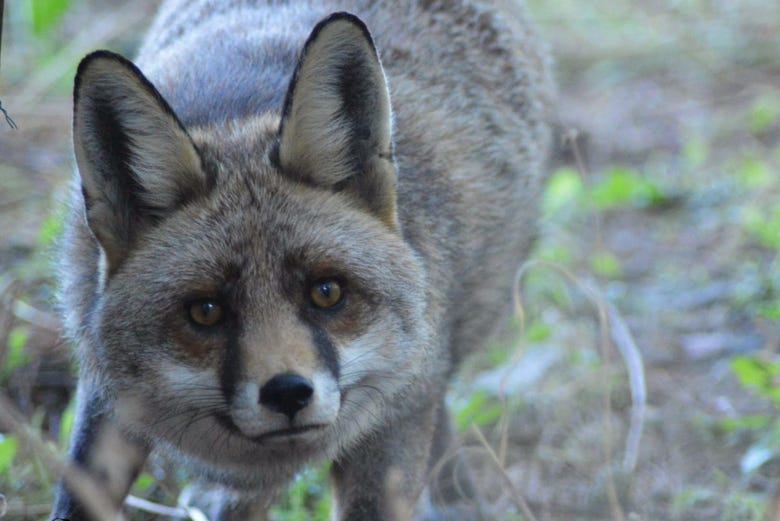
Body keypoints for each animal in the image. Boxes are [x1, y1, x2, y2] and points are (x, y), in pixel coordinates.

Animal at [50, 1, 548, 520]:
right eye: (205, 311)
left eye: (327, 292)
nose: (287, 392)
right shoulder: (105, 393)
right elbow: (76, 498)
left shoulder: (396, 418)